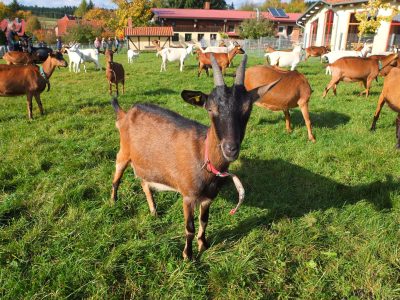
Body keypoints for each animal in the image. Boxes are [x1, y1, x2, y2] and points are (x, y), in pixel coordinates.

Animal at [109, 54, 278, 260]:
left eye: (248, 109)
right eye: (210, 109)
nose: (230, 148)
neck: (203, 156)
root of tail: (126, 113)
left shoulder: (208, 198)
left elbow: (204, 220)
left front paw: (203, 244)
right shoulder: (188, 196)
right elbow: (189, 227)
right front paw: (188, 255)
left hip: (146, 162)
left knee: (144, 183)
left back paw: (153, 210)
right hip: (124, 151)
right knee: (117, 175)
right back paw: (113, 201)